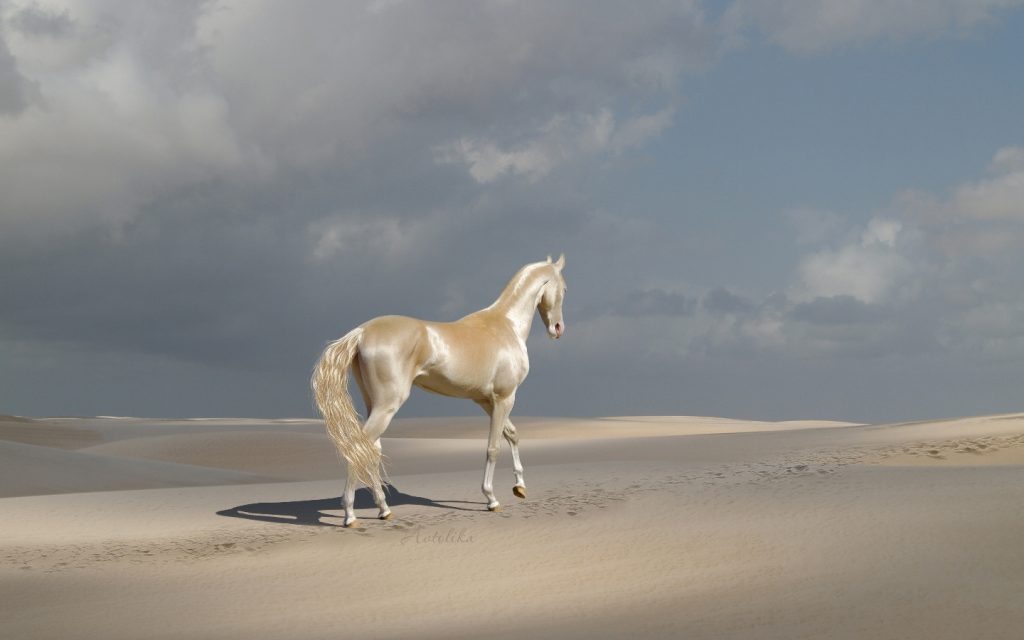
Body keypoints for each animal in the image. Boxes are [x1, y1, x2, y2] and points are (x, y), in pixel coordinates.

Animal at [311, 255, 567, 527]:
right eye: (564, 288)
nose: (557, 328)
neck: (506, 326)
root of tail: (362, 332)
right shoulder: (504, 398)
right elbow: (494, 447)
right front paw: (491, 499)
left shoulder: (486, 401)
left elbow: (512, 434)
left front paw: (520, 486)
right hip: (387, 406)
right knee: (359, 449)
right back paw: (350, 515)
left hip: (374, 405)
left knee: (370, 450)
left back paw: (383, 509)